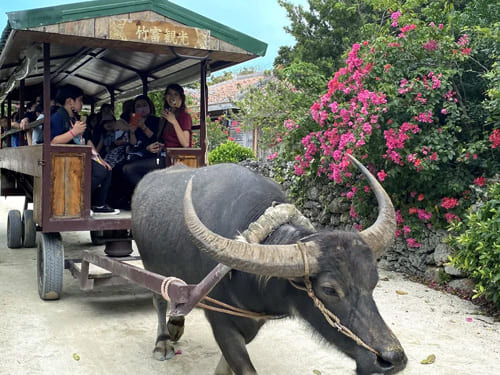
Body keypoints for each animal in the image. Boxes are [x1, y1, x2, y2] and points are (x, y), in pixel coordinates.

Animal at [132, 156, 406, 375]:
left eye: (373, 281)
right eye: (329, 289)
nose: (392, 359)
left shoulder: (251, 322)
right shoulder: (221, 321)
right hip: (151, 265)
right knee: (159, 299)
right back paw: (163, 342)